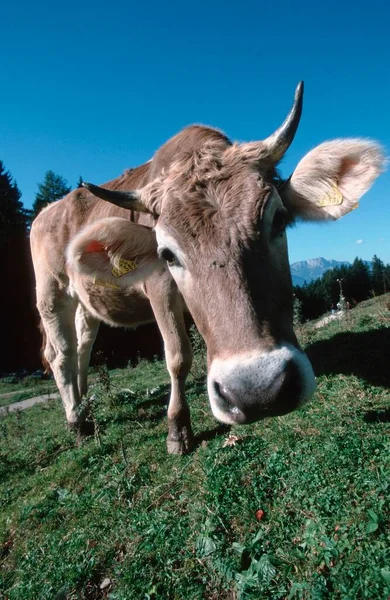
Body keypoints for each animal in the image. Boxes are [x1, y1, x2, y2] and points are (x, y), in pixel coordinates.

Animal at [30, 82, 384, 452]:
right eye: (167, 254)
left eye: (279, 219)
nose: (257, 391)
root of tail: (47, 211)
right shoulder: (158, 287)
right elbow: (177, 355)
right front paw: (177, 429)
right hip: (51, 291)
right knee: (61, 353)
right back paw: (77, 421)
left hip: (85, 303)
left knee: (82, 346)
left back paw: (85, 402)